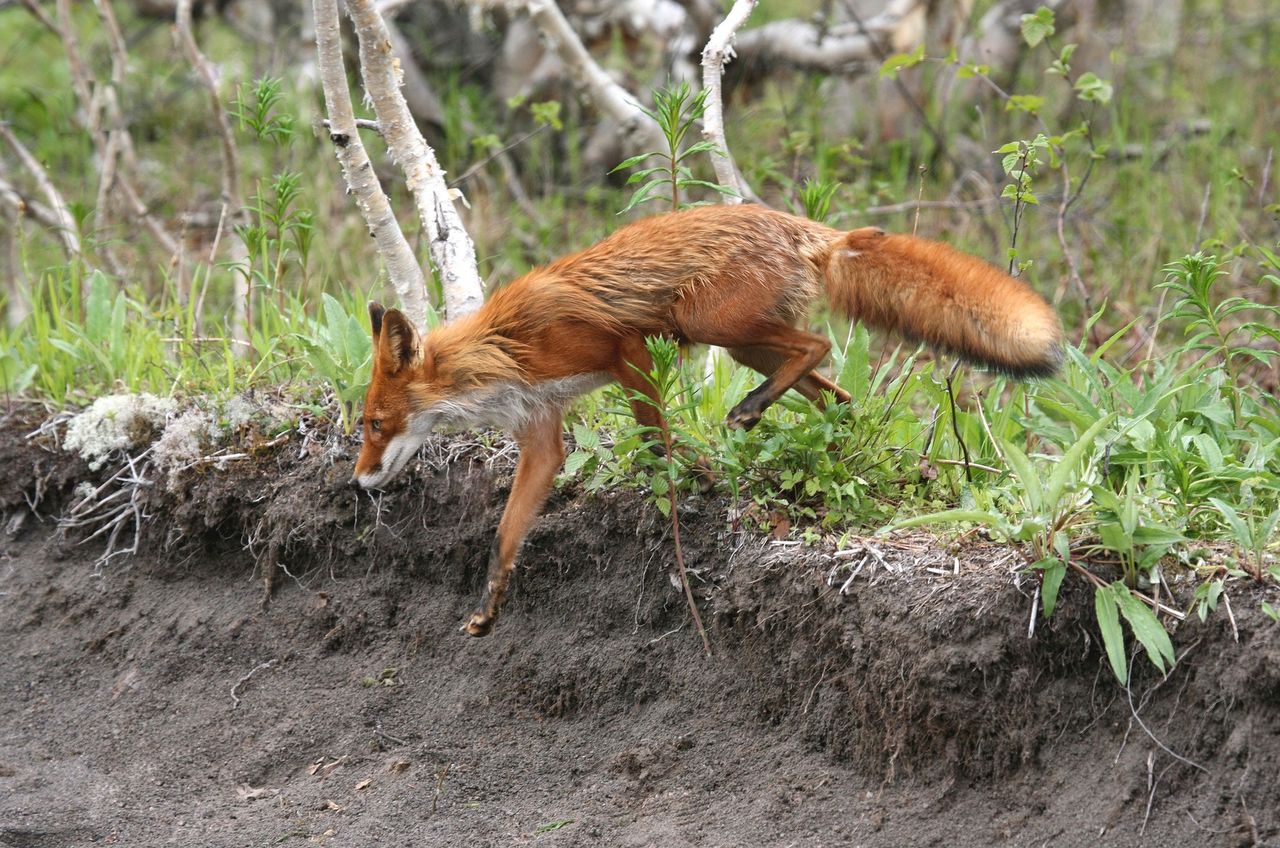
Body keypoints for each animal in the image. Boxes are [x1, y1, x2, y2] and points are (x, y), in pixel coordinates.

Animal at [350, 202, 1059, 635]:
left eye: (375, 424)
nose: (357, 484)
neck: (505, 347)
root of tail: (812, 230)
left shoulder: (624, 349)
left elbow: (653, 438)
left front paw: (689, 481)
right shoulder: (542, 435)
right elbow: (505, 534)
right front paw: (488, 608)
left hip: (707, 322)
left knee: (816, 348)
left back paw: (749, 414)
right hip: (745, 344)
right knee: (834, 392)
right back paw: (828, 443)